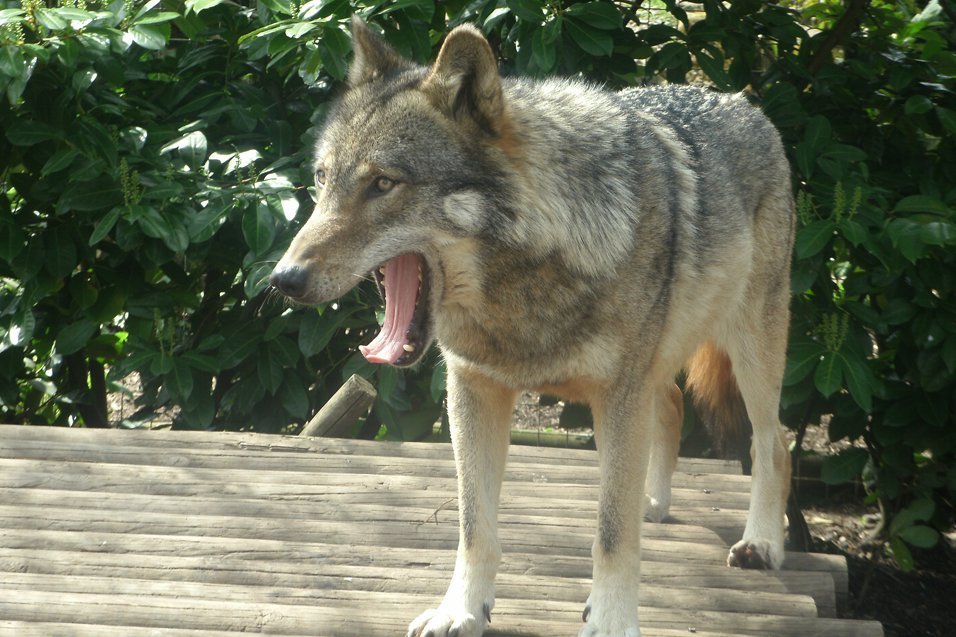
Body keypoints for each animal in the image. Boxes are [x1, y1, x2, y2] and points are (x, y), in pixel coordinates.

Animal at [270, 18, 795, 637]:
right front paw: (461, 610)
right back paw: (652, 502)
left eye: (382, 184)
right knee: (670, 406)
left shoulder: (619, 393)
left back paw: (762, 542)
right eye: (323, 179)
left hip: (750, 349)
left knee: (773, 441)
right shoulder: (473, 389)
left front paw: (611, 621)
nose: (283, 279)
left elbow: (611, 535)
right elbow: (475, 526)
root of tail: (743, 103)